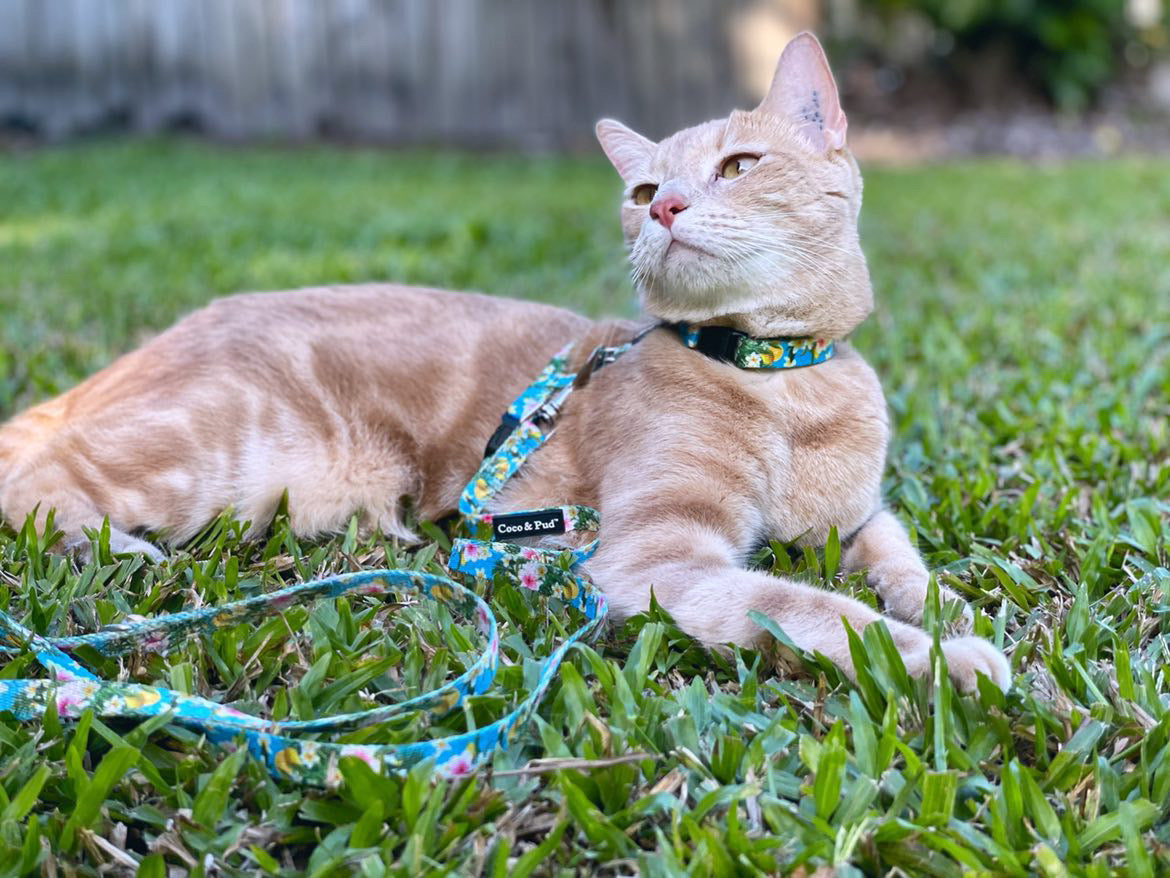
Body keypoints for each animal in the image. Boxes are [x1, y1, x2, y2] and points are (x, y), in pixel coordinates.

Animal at [0, 34, 1006, 693]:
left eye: (738, 166)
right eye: (644, 189)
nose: (666, 207)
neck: (780, 375)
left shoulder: (855, 521)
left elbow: (907, 566)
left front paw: (955, 613)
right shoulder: (660, 555)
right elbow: (821, 614)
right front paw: (953, 664)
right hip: (206, 448)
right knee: (38, 479)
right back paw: (111, 549)